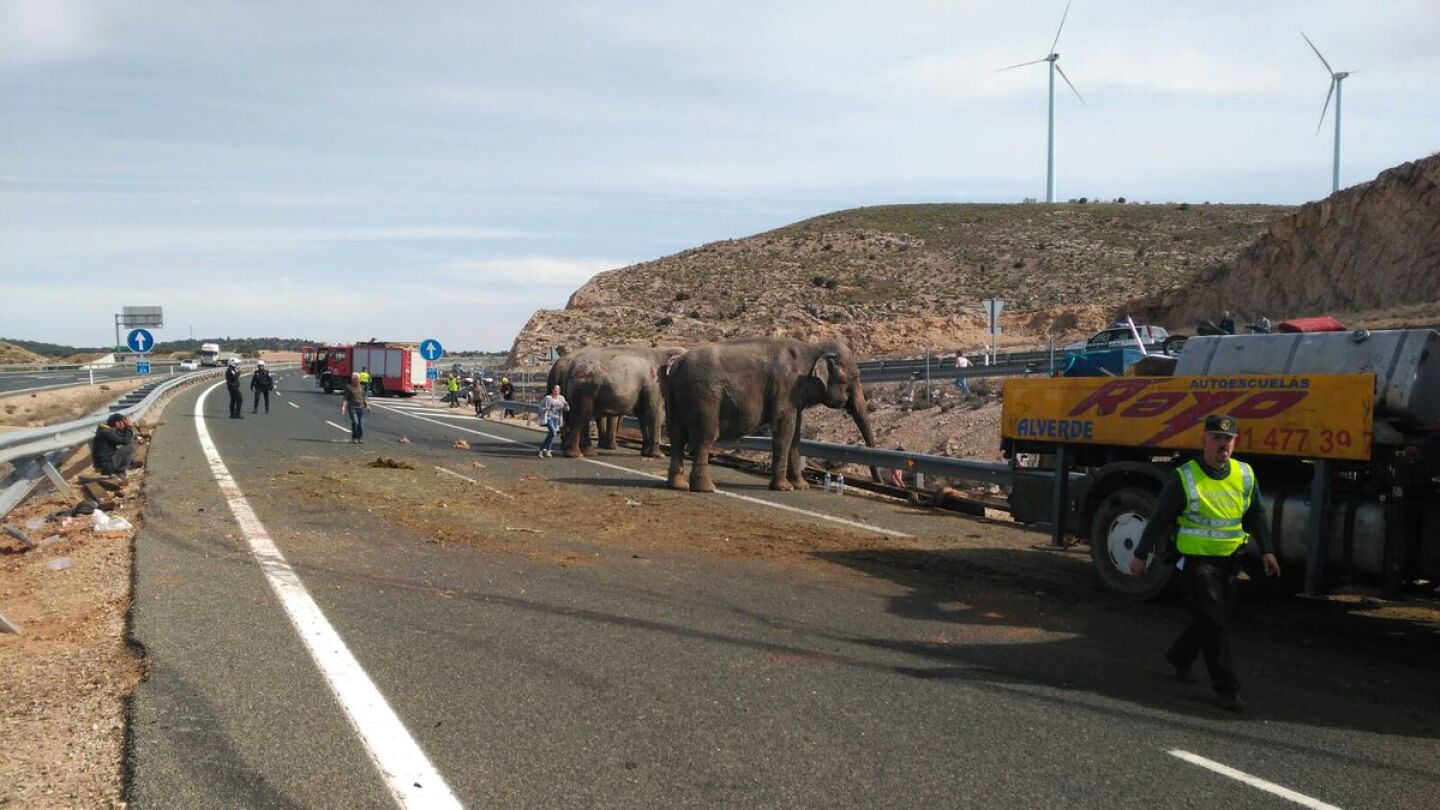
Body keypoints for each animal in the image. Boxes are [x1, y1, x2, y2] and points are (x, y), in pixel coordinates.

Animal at [548, 346, 684, 458]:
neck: (665, 352)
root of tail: (570, 366)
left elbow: (642, 415)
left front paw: (645, 453)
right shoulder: (654, 383)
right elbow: (654, 412)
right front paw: (658, 455)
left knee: (583, 417)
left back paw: (588, 453)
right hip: (584, 388)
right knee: (581, 415)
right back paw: (576, 454)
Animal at [665, 338, 877, 492]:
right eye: (853, 378)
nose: (878, 481)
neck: (812, 349)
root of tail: (677, 364)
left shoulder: (794, 397)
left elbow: (795, 435)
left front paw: (801, 487)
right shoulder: (785, 389)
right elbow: (784, 430)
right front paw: (784, 488)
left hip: (676, 397)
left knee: (676, 436)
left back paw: (679, 485)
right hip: (705, 396)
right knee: (705, 436)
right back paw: (706, 488)